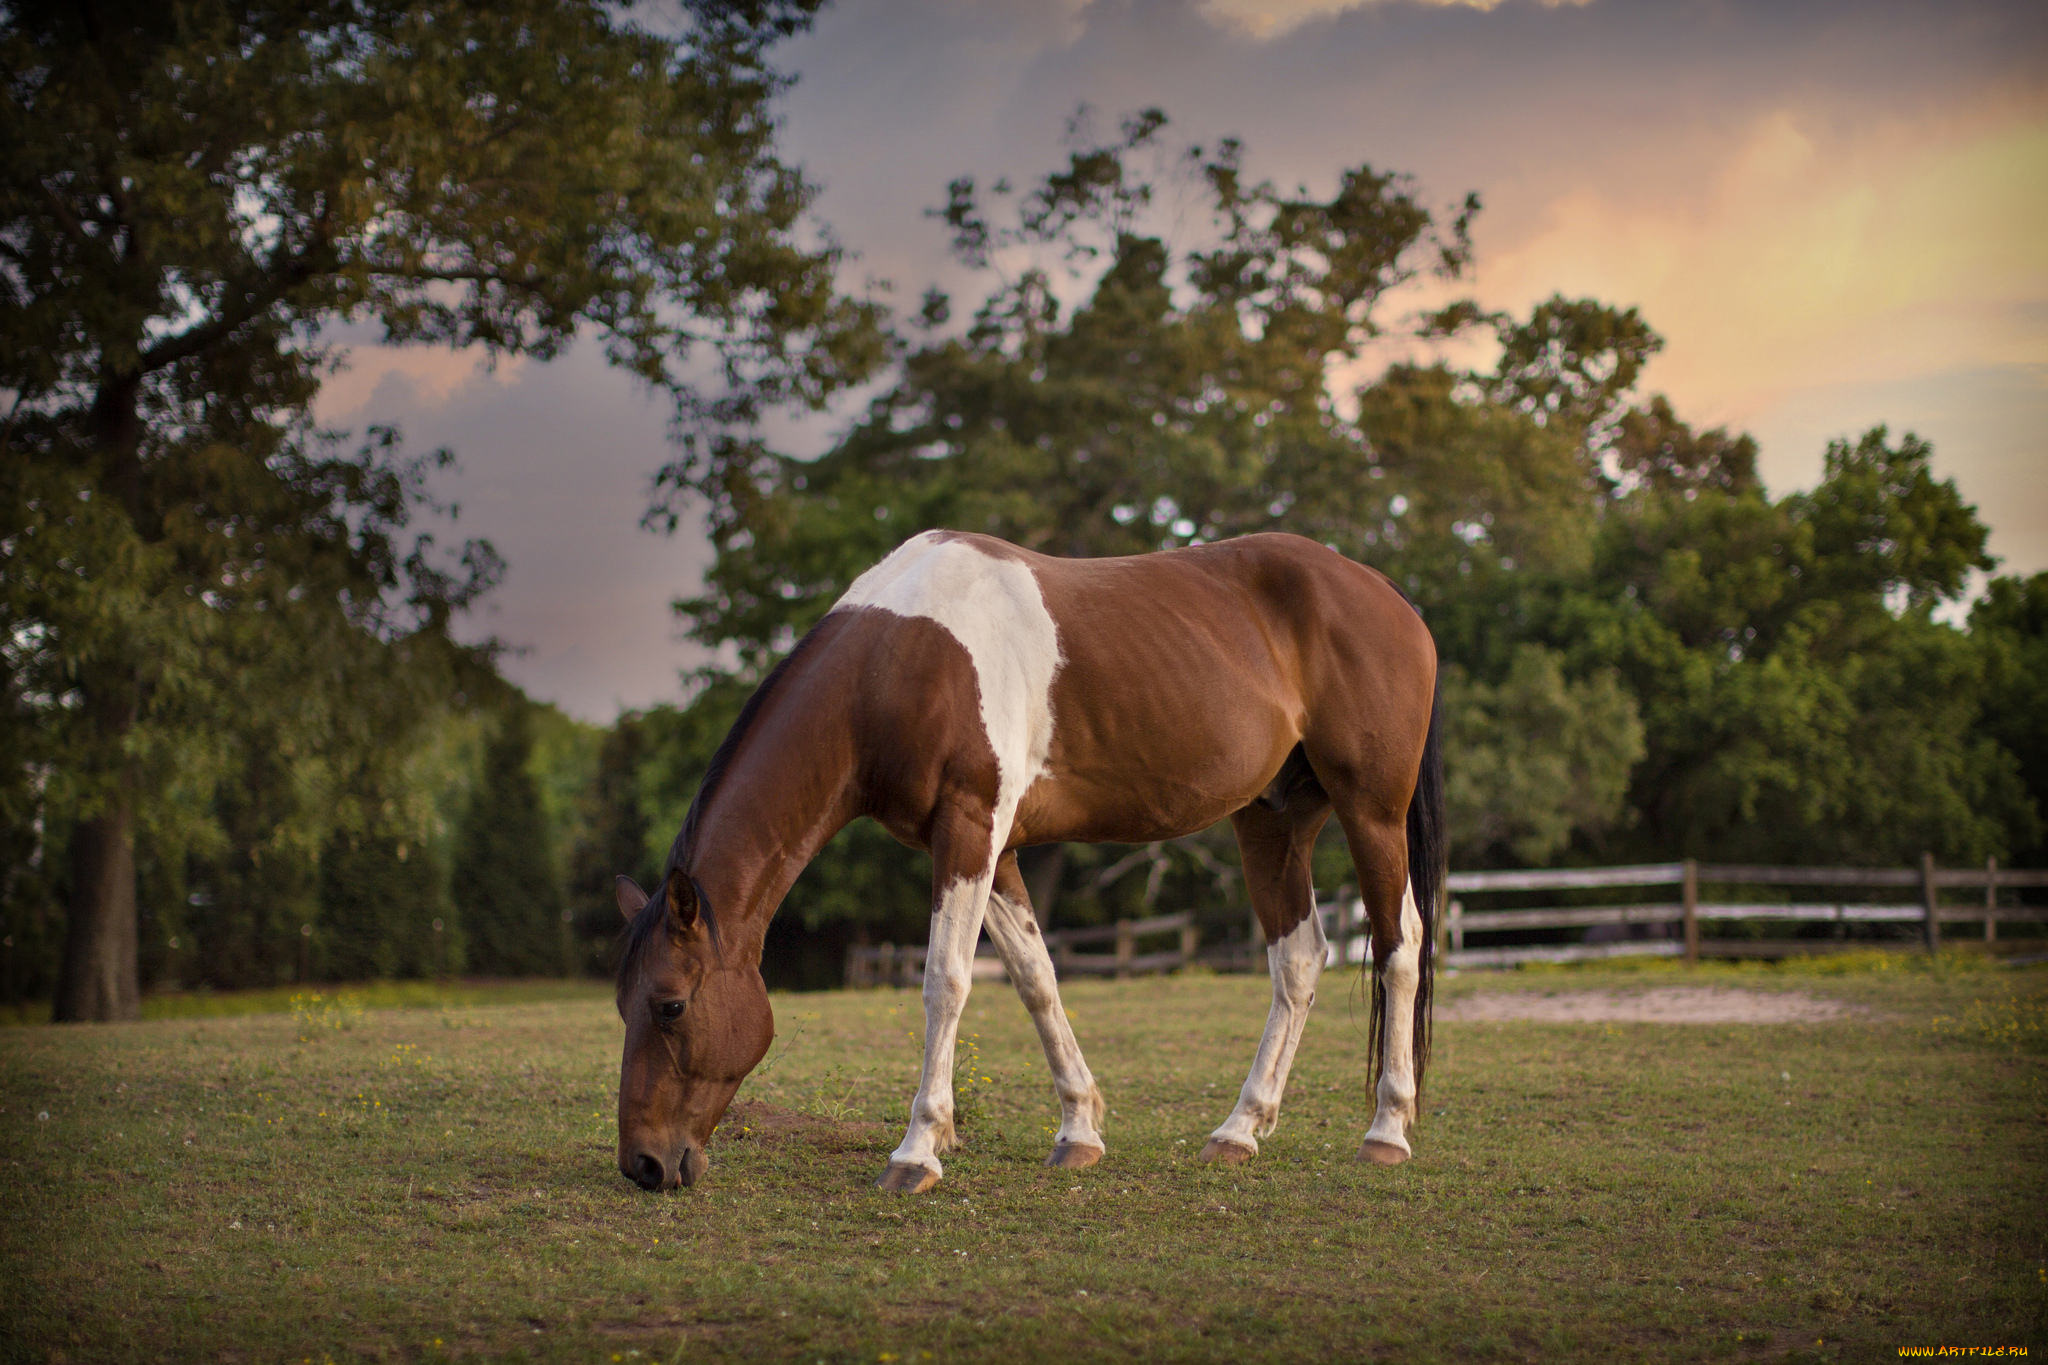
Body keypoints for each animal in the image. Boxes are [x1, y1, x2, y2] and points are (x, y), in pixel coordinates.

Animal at [606, 527, 1441, 1186]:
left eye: (670, 1003)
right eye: (623, 1002)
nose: (644, 1164)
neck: (896, 659)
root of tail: (1385, 592)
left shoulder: (969, 829)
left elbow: (946, 981)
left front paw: (917, 1149)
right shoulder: (996, 848)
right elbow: (1036, 978)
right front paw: (1078, 1130)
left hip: (1371, 811)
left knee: (1400, 944)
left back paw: (1387, 1131)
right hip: (1273, 821)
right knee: (1298, 958)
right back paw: (1239, 1129)